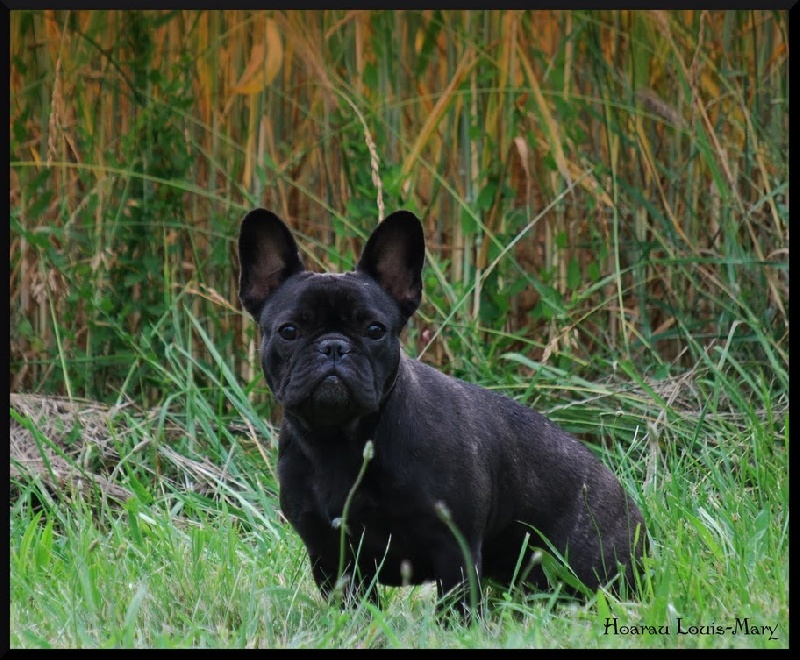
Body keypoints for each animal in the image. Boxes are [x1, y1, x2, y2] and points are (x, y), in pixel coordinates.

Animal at [236, 209, 644, 616]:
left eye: (375, 330)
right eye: (289, 331)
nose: (334, 346)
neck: (339, 439)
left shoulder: (454, 545)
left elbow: (455, 606)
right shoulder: (329, 553)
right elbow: (355, 606)